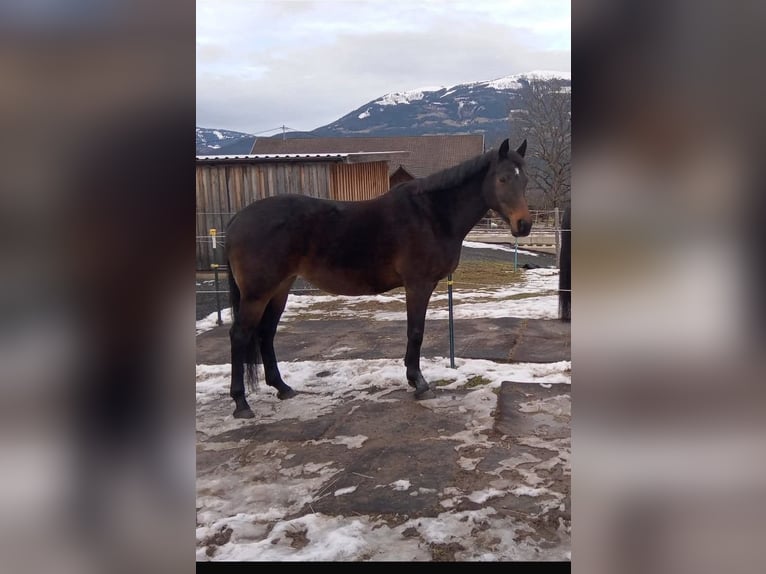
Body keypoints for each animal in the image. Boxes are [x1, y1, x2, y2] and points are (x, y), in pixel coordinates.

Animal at [224, 138, 531, 419]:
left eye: (525, 181)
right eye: (503, 178)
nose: (524, 225)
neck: (432, 214)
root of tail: (238, 218)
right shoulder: (418, 285)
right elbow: (415, 332)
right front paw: (418, 382)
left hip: (280, 288)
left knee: (266, 333)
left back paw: (282, 387)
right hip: (257, 293)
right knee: (240, 335)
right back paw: (241, 403)